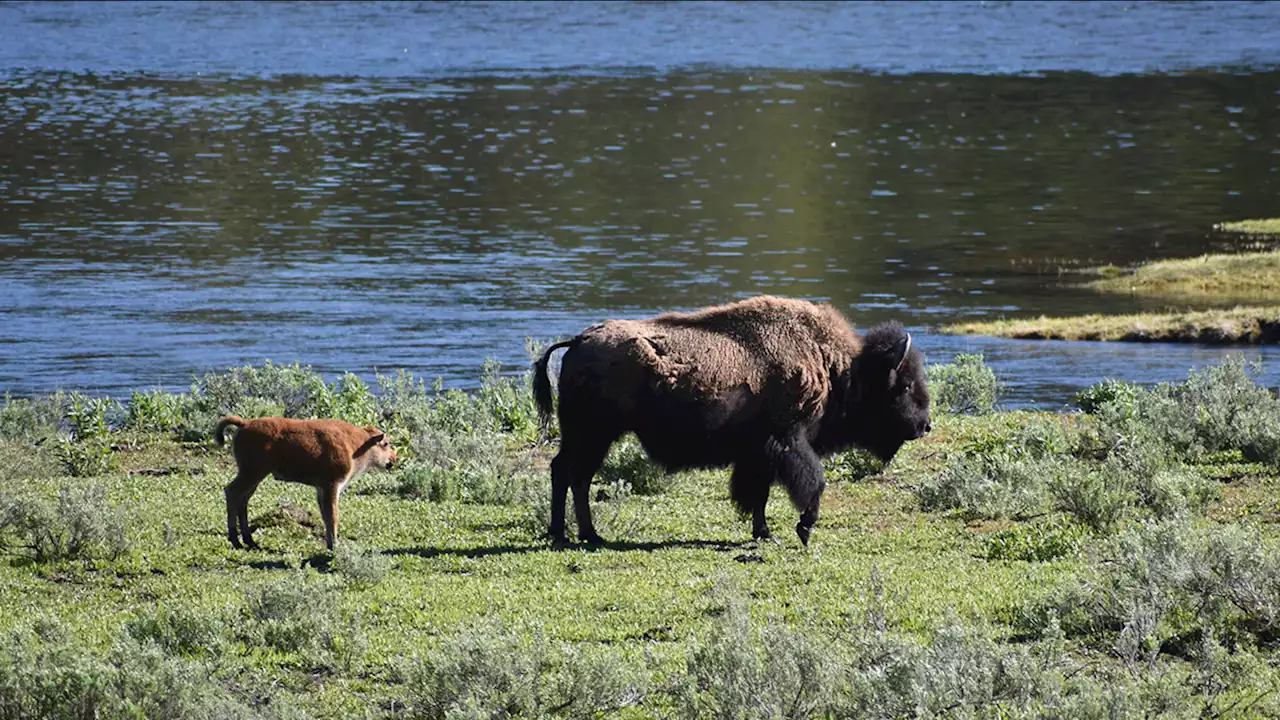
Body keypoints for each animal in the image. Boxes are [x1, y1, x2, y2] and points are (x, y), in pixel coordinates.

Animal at [215, 415, 396, 548]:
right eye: (385, 443)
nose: (394, 458)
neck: (357, 444)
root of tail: (246, 423)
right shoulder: (331, 486)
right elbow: (333, 516)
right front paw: (334, 546)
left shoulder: (321, 489)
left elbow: (326, 516)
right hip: (252, 473)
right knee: (232, 492)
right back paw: (236, 541)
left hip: (255, 477)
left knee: (243, 499)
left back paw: (250, 541)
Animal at [529, 294, 931, 545]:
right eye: (904, 384)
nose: (925, 425)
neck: (837, 367)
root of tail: (578, 341)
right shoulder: (787, 442)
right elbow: (812, 483)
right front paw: (802, 529)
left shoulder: (759, 454)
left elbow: (758, 494)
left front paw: (764, 533)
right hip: (593, 435)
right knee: (575, 475)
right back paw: (581, 535)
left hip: (587, 436)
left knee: (566, 472)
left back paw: (569, 533)